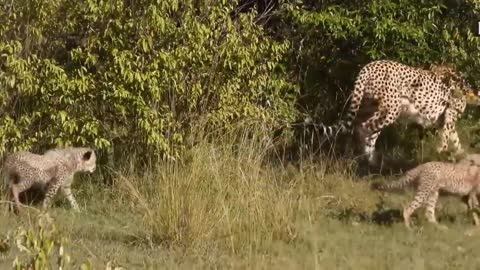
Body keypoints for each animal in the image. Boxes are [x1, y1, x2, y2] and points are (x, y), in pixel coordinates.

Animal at [316, 59, 476, 163]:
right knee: (363, 128)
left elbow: (455, 140)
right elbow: (447, 137)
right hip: (391, 109)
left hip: (370, 107)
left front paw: (463, 157)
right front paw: (440, 152)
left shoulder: (446, 118)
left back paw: (369, 162)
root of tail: (368, 66)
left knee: (364, 130)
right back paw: (368, 160)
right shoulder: (449, 113)